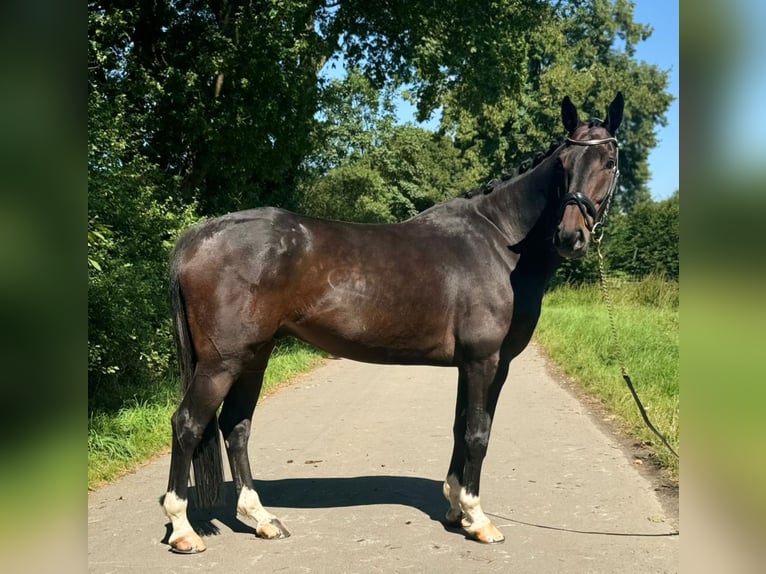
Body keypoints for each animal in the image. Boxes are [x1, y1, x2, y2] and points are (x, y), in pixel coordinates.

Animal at [160, 93, 624, 552]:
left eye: (609, 161)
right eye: (563, 164)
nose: (570, 237)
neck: (498, 242)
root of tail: (197, 235)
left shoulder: (472, 365)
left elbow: (460, 428)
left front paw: (455, 508)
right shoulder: (487, 361)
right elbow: (478, 433)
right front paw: (478, 519)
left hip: (254, 358)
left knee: (236, 427)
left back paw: (262, 519)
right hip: (222, 363)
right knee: (187, 424)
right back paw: (182, 529)